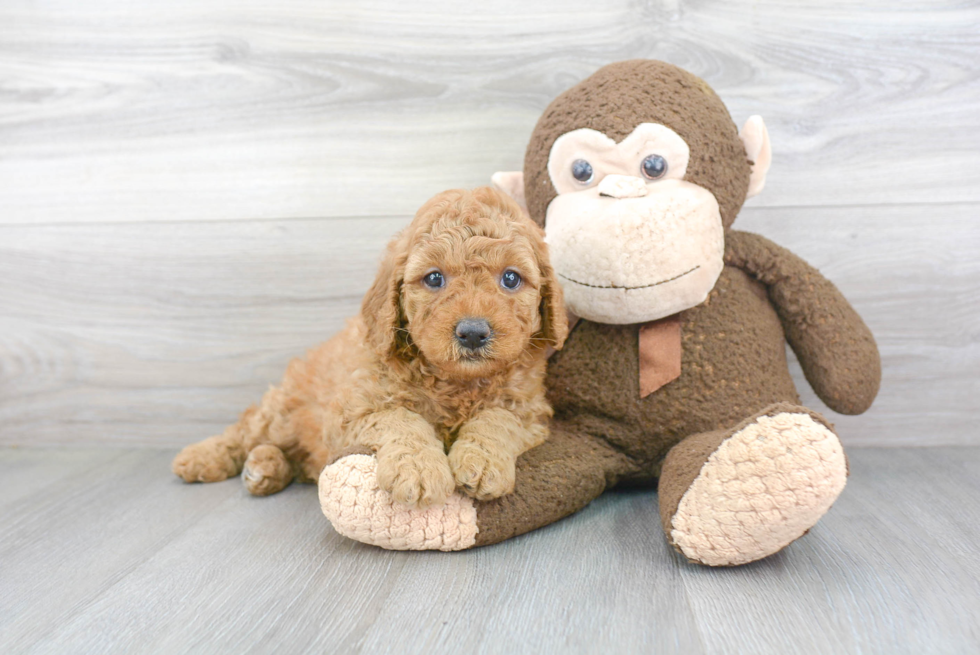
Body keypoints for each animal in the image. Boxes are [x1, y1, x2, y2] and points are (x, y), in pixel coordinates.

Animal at [170, 187, 568, 510]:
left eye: (511, 278)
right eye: (434, 278)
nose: (472, 332)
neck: (456, 382)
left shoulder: (529, 411)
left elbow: (497, 418)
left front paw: (481, 462)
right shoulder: (352, 409)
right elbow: (400, 418)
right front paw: (419, 468)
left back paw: (264, 467)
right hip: (281, 411)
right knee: (245, 431)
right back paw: (202, 457)